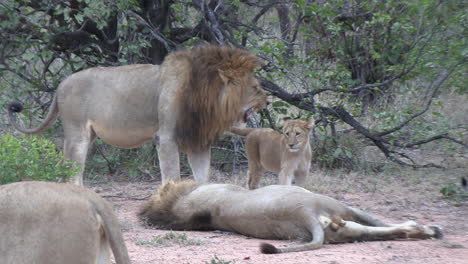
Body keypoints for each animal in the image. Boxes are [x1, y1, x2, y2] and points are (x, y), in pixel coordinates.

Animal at [7, 44, 266, 186]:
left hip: (88, 135)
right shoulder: (166, 137)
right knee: (72, 171)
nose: (268, 100)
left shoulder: (197, 140)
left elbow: (203, 177)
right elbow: (172, 174)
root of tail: (61, 84)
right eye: (255, 87)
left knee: (64, 167)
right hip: (76, 133)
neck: (208, 99)